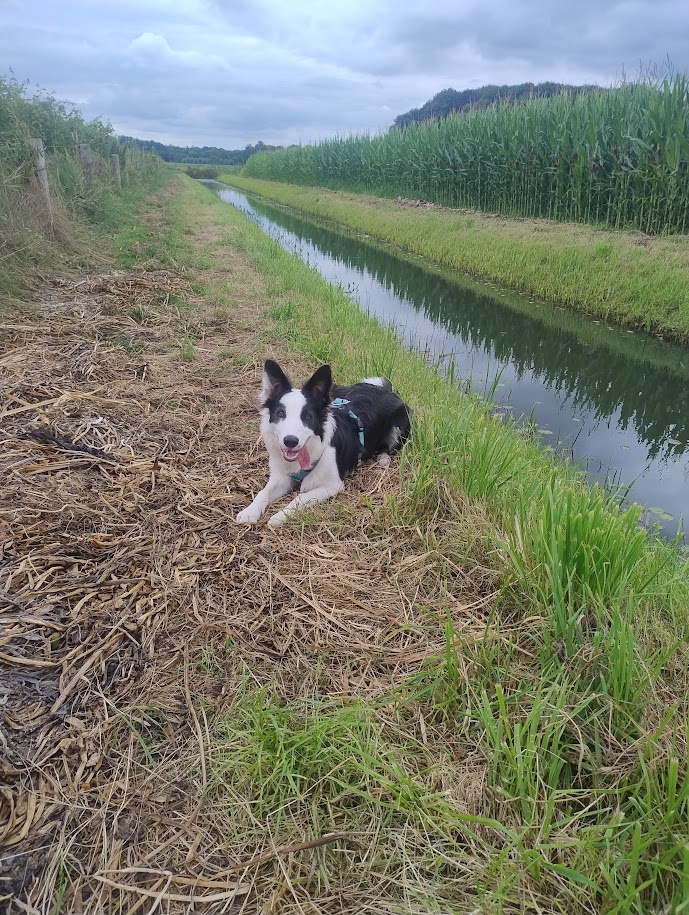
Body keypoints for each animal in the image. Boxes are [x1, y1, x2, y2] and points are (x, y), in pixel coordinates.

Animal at [236, 359, 411, 527]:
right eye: (280, 413)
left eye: (308, 417)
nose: (290, 441)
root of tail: (384, 389)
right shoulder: (281, 478)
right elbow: (263, 492)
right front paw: (249, 512)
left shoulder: (333, 485)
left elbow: (301, 497)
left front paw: (280, 516)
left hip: (399, 426)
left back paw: (383, 457)